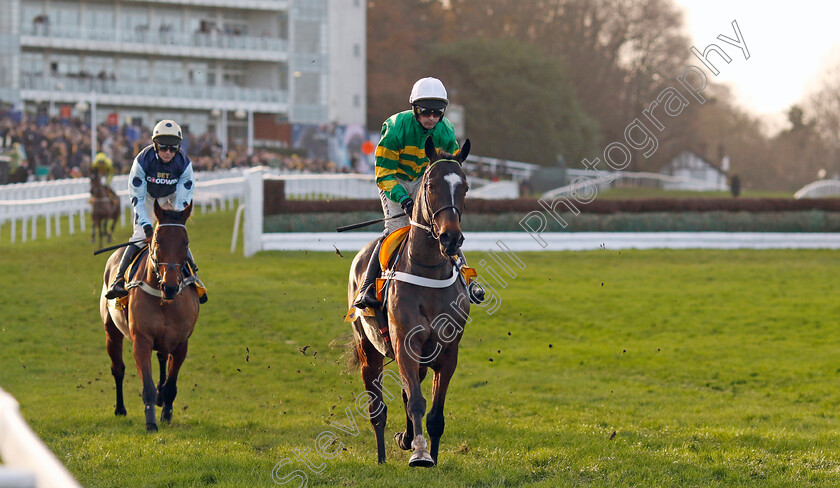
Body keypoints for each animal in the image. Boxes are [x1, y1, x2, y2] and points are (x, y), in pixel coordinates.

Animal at [99, 200, 200, 432]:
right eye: (157, 240)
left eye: (186, 242)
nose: (170, 286)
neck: (164, 299)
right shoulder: (141, 340)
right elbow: (148, 386)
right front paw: (151, 423)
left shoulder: (181, 342)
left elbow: (170, 385)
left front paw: (166, 415)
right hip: (111, 331)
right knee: (118, 369)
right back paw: (120, 409)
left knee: (162, 359)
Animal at [344, 136, 470, 466]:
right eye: (431, 185)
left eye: (464, 186)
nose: (451, 238)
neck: (428, 271)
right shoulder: (405, 343)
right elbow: (415, 401)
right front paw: (420, 453)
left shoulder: (448, 352)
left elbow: (435, 414)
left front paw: (427, 452)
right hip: (368, 351)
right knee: (377, 410)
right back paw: (381, 457)